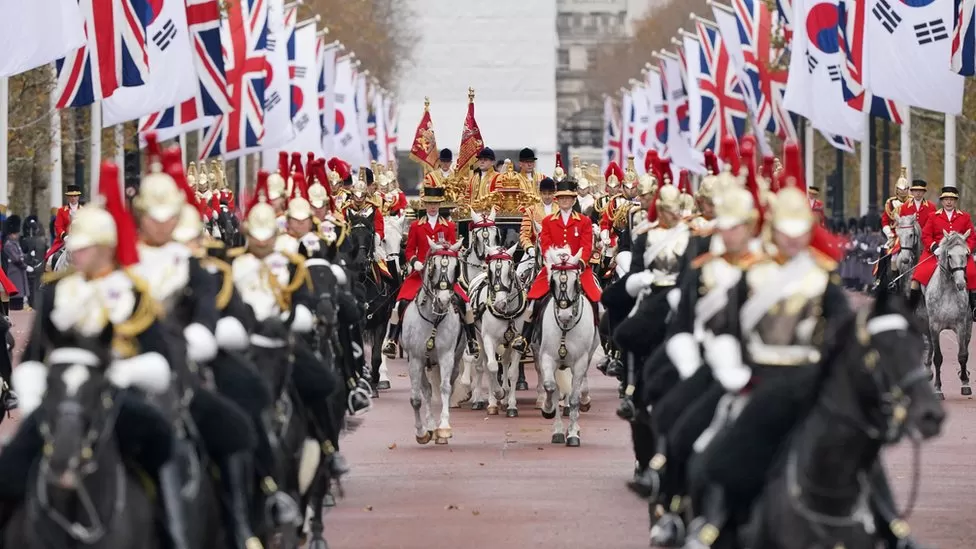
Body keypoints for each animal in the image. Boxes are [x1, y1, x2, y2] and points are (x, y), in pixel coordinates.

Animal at [402, 238, 468, 444]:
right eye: (434, 267)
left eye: (456, 267)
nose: (444, 300)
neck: (433, 318)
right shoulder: (415, 359)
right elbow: (416, 398)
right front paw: (421, 432)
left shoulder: (447, 356)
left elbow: (445, 388)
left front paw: (444, 427)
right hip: (421, 362)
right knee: (426, 390)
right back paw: (430, 426)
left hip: (454, 359)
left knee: (447, 385)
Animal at [532, 246, 604, 448]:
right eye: (554, 281)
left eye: (575, 281)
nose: (564, 315)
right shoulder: (547, 358)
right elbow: (551, 388)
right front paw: (548, 411)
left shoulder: (579, 362)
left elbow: (573, 398)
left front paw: (572, 434)